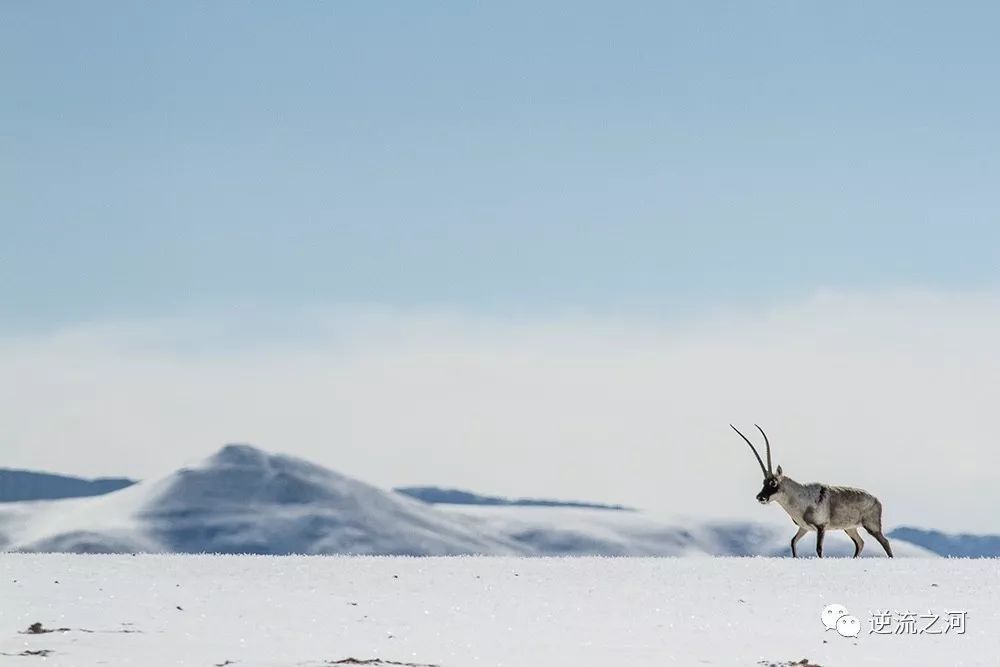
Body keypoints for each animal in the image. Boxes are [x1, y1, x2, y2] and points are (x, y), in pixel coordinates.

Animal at [732, 426, 896, 560]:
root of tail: (877, 500)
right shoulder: (804, 527)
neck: (800, 496)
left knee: (885, 542)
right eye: (764, 482)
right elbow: (793, 542)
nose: (761, 497)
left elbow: (819, 549)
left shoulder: (821, 527)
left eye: (773, 483)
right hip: (850, 528)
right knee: (860, 543)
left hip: (871, 526)